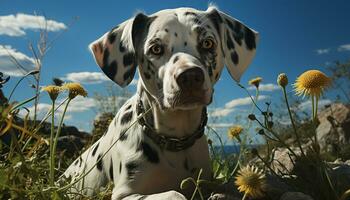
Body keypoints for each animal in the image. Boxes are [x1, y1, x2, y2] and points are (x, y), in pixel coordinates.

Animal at [63, 6, 258, 200]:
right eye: (156, 48)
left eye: (208, 43)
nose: (190, 77)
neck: (176, 143)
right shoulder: (124, 194)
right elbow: (174, 194)